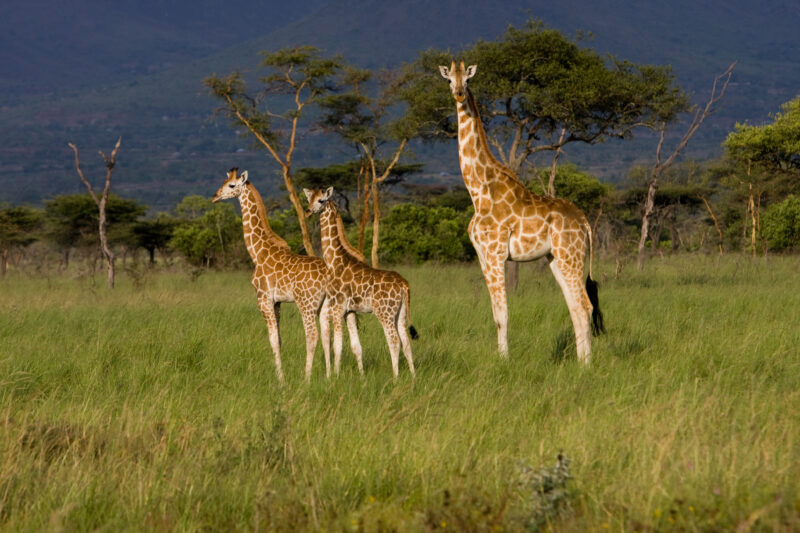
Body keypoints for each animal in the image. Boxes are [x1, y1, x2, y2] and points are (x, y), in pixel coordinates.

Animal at [213, 168, 332, 382]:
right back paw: (329, 376)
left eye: (231, 185)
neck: (257, 251)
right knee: (327, 335)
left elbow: (273, 340)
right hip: (325, 305)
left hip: (306, 304)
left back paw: (306, 379)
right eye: (224, 182)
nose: (215, 196)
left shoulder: (264, 299)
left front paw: (281, 380)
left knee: (312, 336)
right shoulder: (277, 302)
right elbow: (280, 339)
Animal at [304, 187, 417, 378]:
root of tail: (404, 285)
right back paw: (414, 377)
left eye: (321, 200)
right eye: (309, 198)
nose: (308, 210)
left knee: (394, 341)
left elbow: (338, 345)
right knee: (407, 342)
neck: (334, 261)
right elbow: (356, 346)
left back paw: (395, 378)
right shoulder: (350, 311)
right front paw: (362, 376)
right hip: (400, 313)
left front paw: (335, 376)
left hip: (385, 312)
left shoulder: (337, 307)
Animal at [438, 61, 604, 363]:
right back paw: (579, 362)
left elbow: (502, 314)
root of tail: (584, 221)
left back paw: (587, 364)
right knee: (575, 307)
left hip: (571, 255)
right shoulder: (482, 257)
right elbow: (495, 313)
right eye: (448, 80)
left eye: (467, 81)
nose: (458, 94)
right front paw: (501, 357)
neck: (478, 191)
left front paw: (503, 361)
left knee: (585, 306)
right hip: (556, 259)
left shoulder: (495, 254)